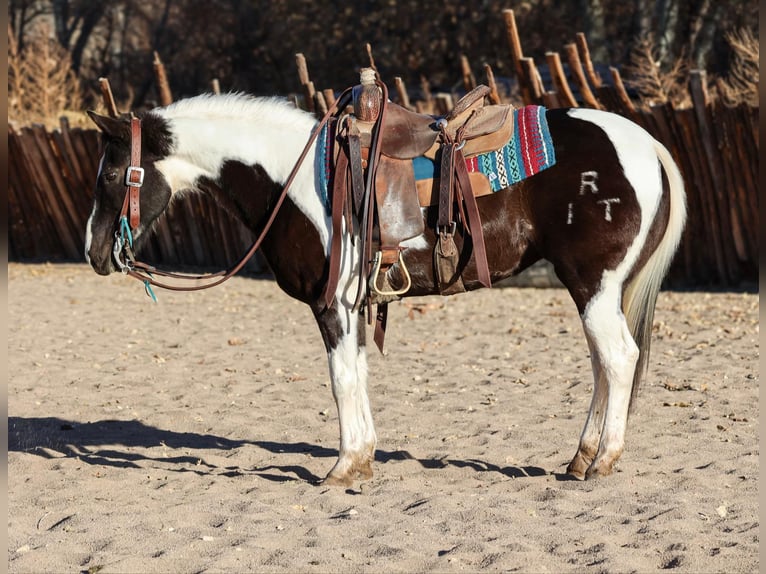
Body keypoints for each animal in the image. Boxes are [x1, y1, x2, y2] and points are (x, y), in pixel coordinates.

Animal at [85, 91, 686, 486]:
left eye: (111, 175)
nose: (94, 253)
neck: (292, 179)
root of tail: (647, 146)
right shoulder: (353, 305)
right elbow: (357, 375)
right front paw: (363, 458)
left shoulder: (331, 304)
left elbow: (342, 379)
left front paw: (343, 467)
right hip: (597, 291)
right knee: (603, 365)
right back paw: (582, 457)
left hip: (593, 286)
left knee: (618, 359)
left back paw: (603, 461)